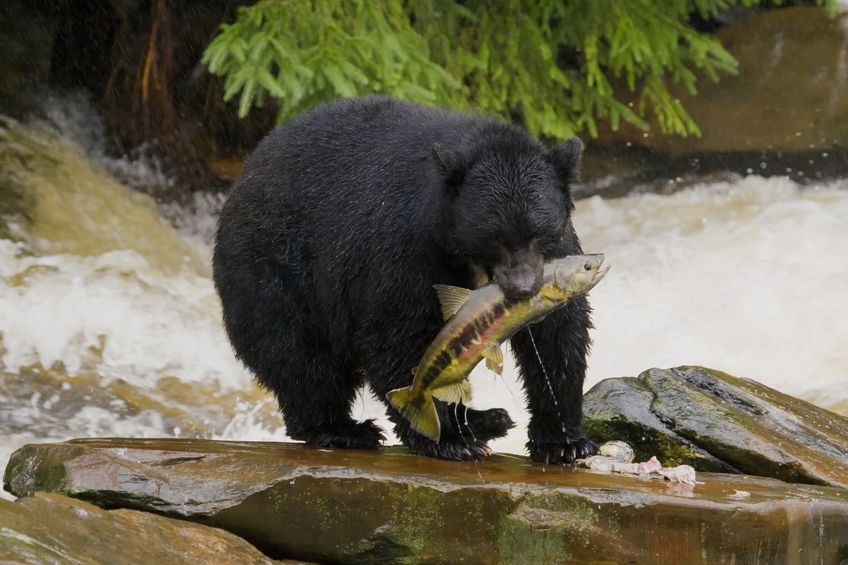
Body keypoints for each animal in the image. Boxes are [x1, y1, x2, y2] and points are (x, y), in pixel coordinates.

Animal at [213, 95, 596, 463]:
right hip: (276, 272)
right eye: (494, 238)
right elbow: (399, 334)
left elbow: (558, 335)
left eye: (539, 233)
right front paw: (449, 439)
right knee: (299, 355)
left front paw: (563, 442)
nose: (523, 288)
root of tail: (247, 171)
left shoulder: (558, 253)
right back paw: (343, 429)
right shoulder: (407, 247)